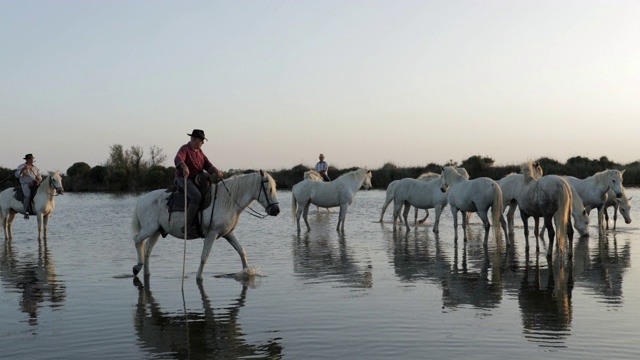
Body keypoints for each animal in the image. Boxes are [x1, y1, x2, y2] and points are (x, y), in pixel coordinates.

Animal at [131, 172, 278, 282]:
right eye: (269, 189)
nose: (276, 210)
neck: (226, 201)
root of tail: (142, 199)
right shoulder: (211, 234)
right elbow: (204, 257)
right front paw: (199, 277)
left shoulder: (228, 234)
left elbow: (241, 251)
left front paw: (247, 272)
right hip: (149, 229)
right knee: (137, 240)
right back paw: (137, 267)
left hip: (156, 231)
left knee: (147, 250)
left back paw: (146, 273)